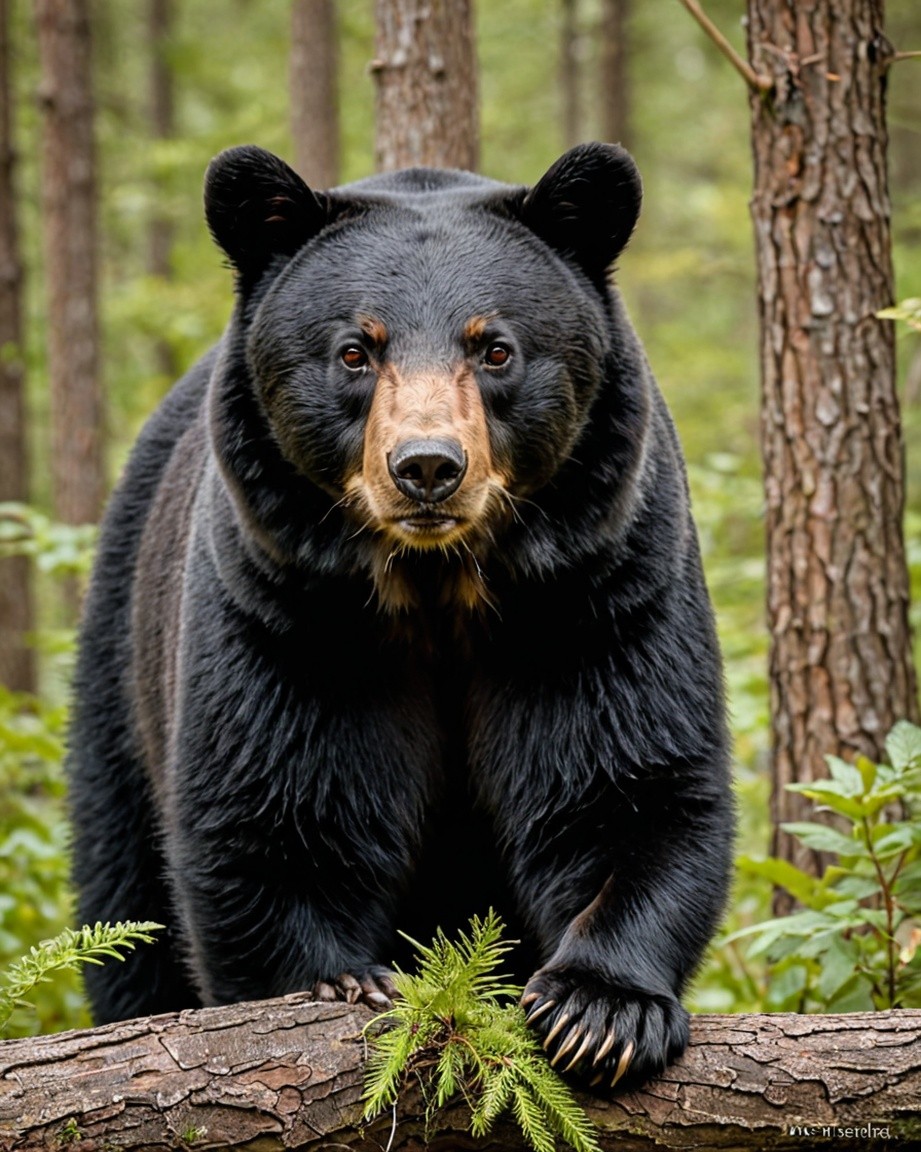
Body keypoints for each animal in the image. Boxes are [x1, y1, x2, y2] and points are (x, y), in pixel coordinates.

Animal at [67, 141, 733, 1090]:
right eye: (355, 350)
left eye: (495, 348)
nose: (425, 467)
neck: (437, 590)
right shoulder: (289, 615)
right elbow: (272, 815)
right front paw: (340, 981)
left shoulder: (599, 592)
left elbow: (629, 780)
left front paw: (599, 1010)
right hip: (119, 660)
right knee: (125, 900)